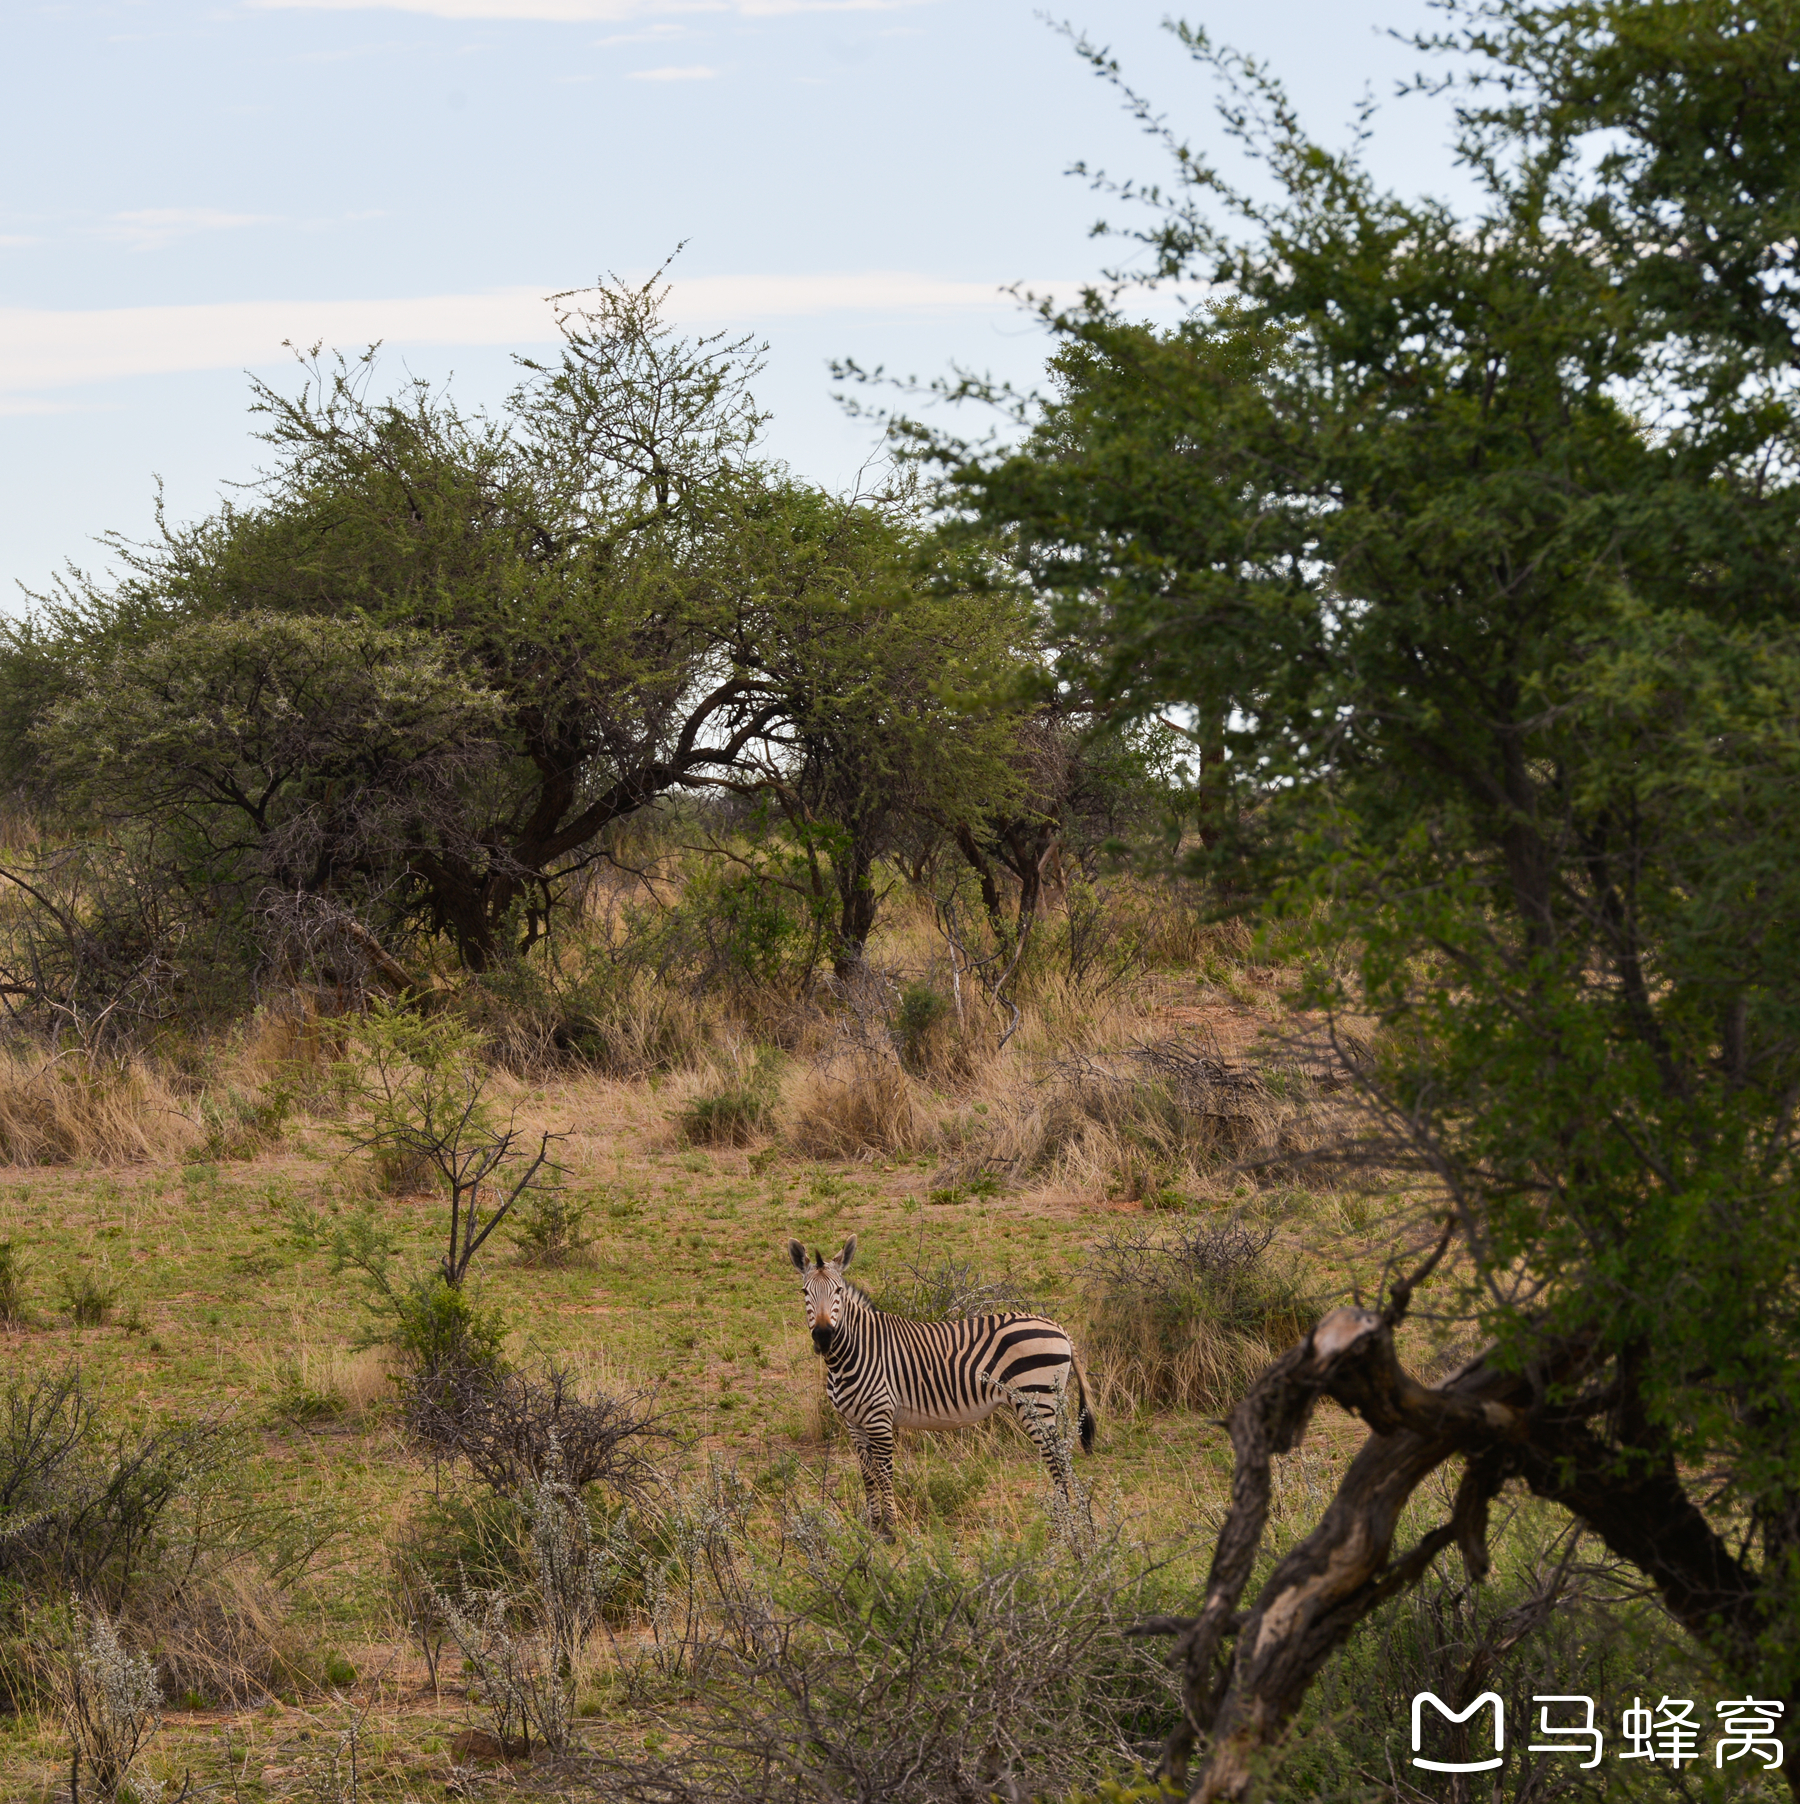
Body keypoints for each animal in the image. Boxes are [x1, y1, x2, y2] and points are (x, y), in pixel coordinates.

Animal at [789, 1233, 1096, 1544]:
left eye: (838, 1291)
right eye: (804, 1292)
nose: (823, 1337)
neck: (854, 1351)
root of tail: (1057, 1326)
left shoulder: (879, 1417)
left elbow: (885, 1473)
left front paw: (892, 1530)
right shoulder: (853, 1421)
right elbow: (868, 1473)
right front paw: (873, 1528)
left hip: (1036, 1400)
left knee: (1058, 1457)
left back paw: (1063, 1526)